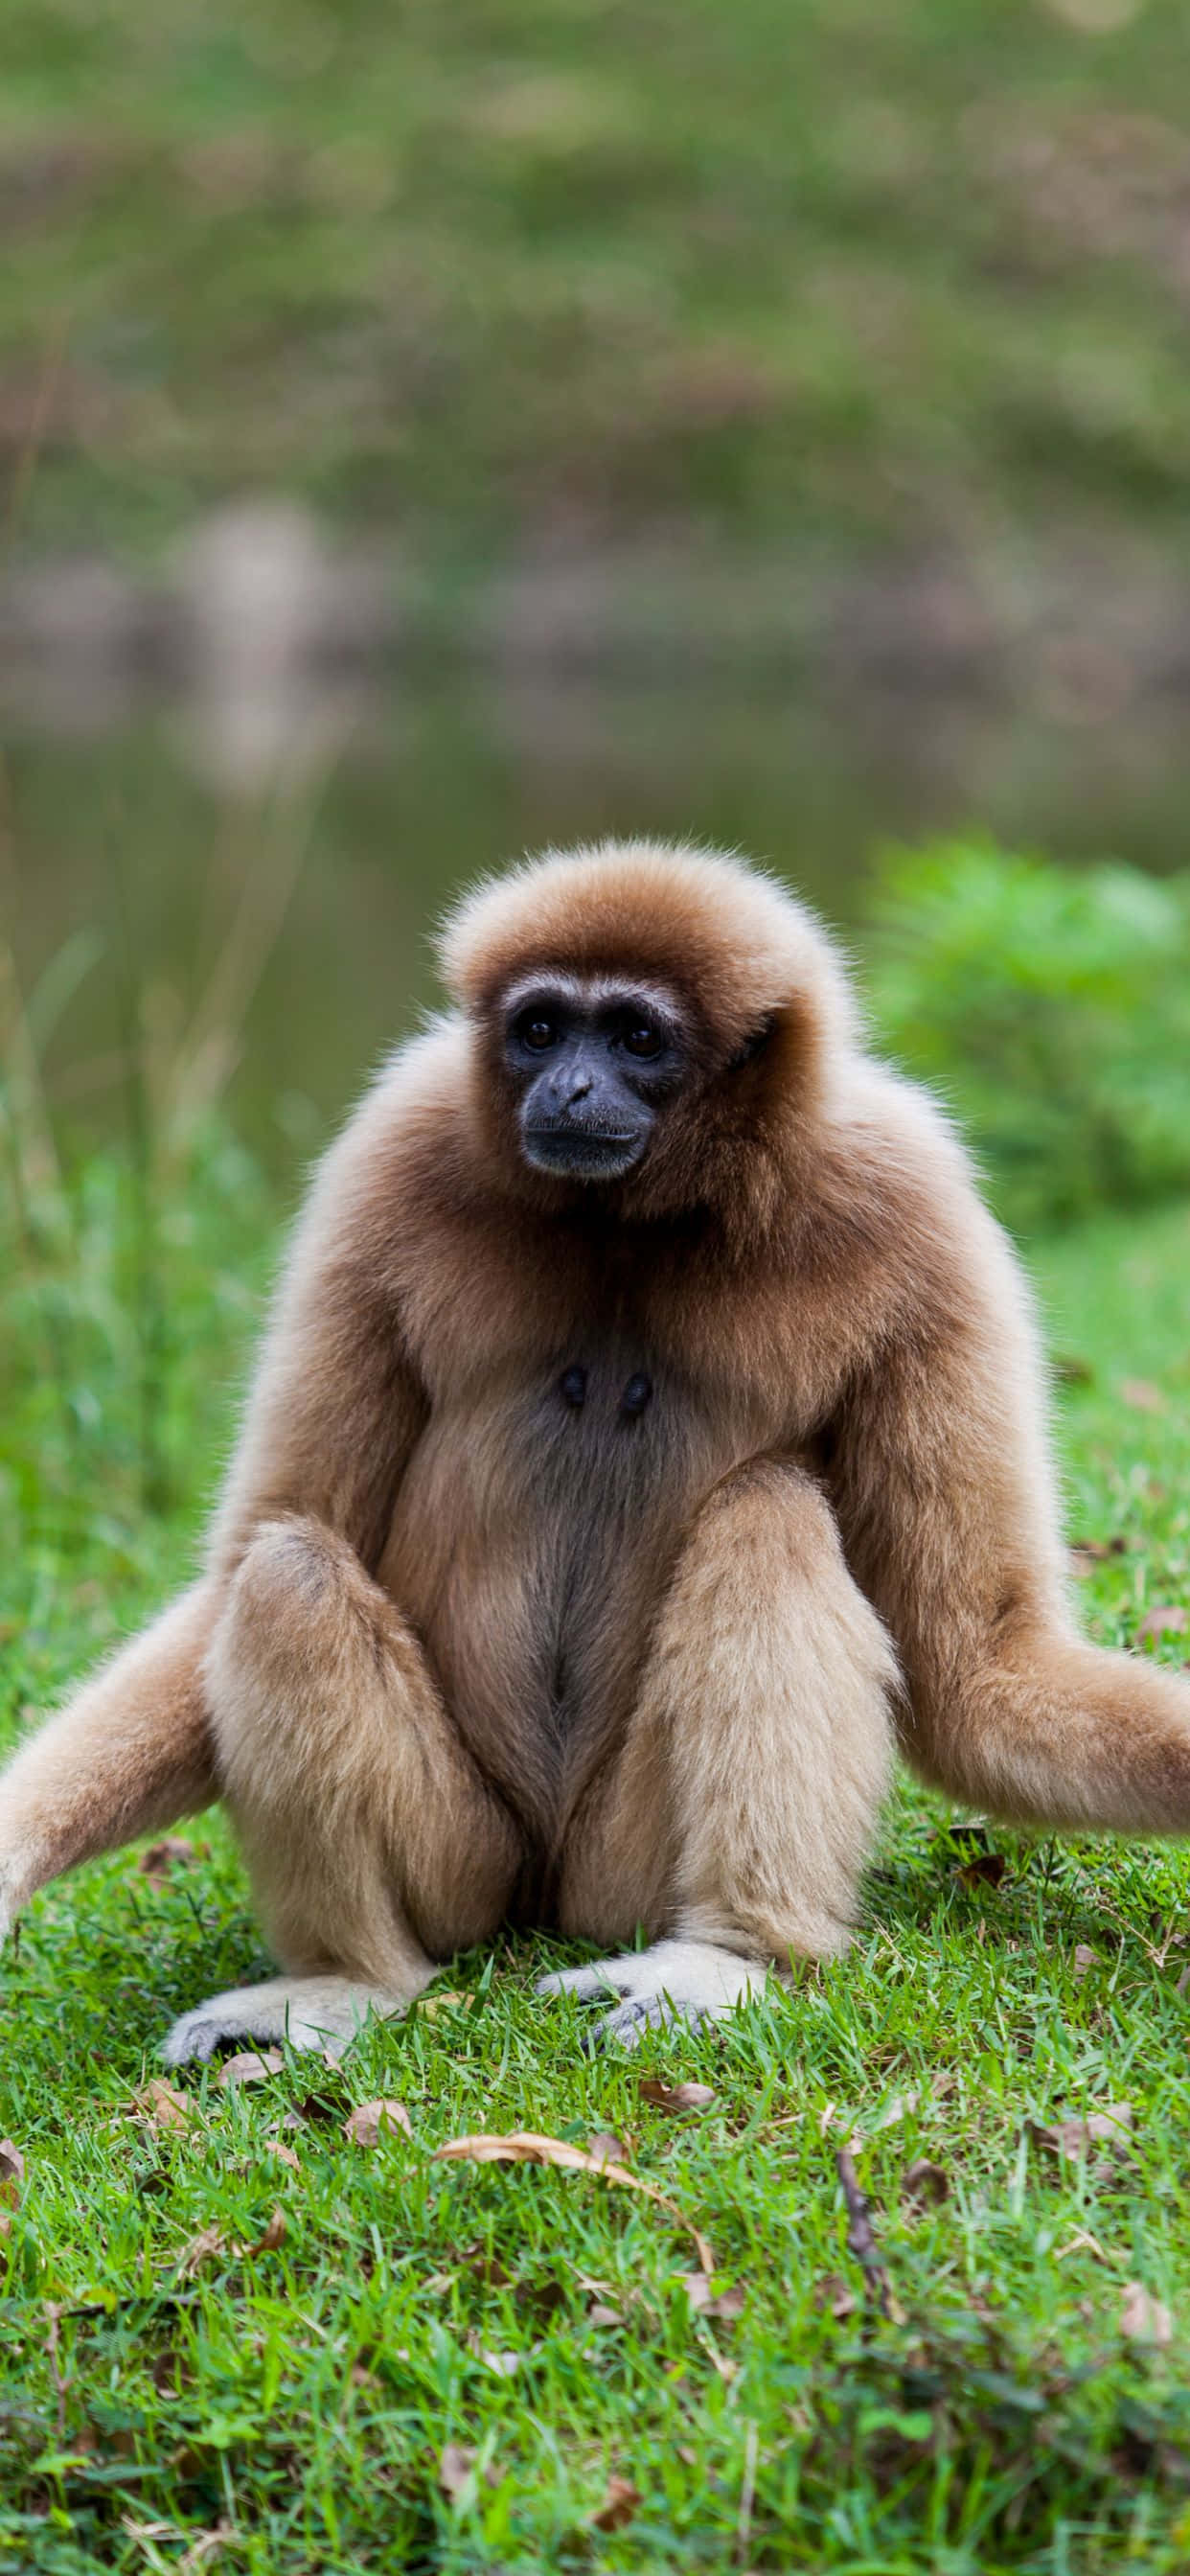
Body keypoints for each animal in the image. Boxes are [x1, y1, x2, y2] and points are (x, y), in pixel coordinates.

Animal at [1, 837, 1189, 2060]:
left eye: (634, 1037)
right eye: (539, 1027)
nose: (569, 1085)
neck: (633, 1223)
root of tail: (547, 1895)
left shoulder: (920, 1210)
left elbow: (976, 1665)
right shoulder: (390, 1149)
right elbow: (258, 1541)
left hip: (627, 1869)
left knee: (767, 1513)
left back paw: (732, 1952)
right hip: (470, 1861)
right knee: (286, 1573)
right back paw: (353, 1977)